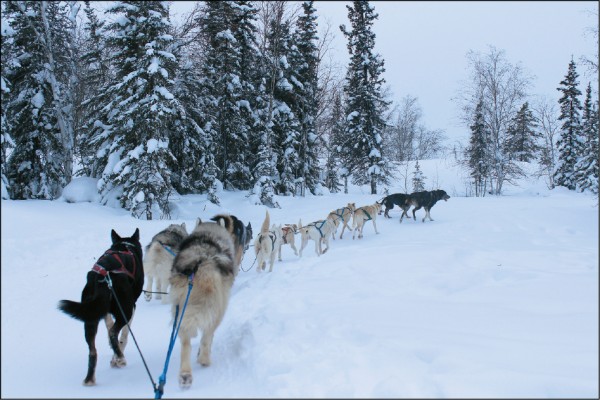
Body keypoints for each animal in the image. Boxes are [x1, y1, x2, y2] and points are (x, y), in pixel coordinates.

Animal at [57, 230, 144, 386]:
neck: (125, 246)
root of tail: (103, 278)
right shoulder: (132, 307)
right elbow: (124, 334)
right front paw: (116, 355)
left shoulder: (102, 310)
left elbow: (109, 324)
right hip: (125, 309)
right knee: (114, 333)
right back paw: (120, 358)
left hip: (89, 317)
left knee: (93, 350)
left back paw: (89, 379)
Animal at [169, 214, 251, 390]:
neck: (208, 235)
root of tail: (203, 262)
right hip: (218, 312)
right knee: (207, 337)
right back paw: (204, 359)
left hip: (180, 310)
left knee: (185, 344)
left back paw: (185, 375)